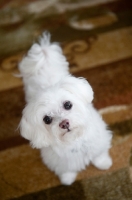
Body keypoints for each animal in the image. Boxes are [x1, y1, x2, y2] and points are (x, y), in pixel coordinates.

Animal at [18, 32, 112, 184]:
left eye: (68, 105)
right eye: (47, 119)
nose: (64, 123)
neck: (74, 141)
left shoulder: (98, 141)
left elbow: (99, 154)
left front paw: (104, 163)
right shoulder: (59, 161)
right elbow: (66, 170)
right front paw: (67, 179)